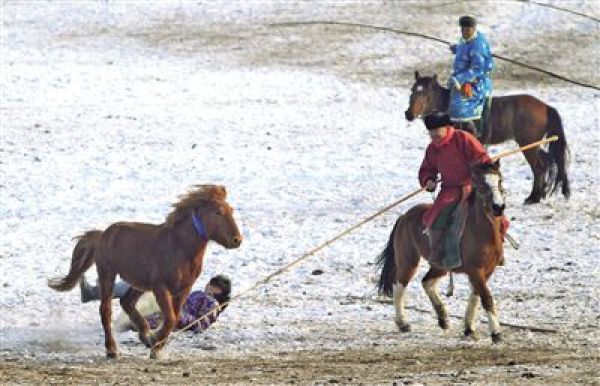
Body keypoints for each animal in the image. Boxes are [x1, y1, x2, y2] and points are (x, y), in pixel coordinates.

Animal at [48, 184, 243, 358]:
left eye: (231, 210)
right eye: (218, 212)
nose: (237, 240)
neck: (179, 247)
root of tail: (102, 235)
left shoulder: (183, 289)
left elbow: (174, 317)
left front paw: (155, 343)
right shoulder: (160, 288)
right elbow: (170, 318)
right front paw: (156, 346)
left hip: (138, 283)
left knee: (127, 302)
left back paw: (145, 335)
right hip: (107, 274)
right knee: (106, 310)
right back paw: (112, 349)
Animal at [380, 161, 506, 342]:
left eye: (500, 180)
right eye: (482, 184)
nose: (498, 207)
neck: (481, 230)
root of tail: (404, 217)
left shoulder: (486, 271)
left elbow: (476, 295)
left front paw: (469, 327)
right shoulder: (475, 270)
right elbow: (486, 298)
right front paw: (496, 332)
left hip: (440, 266)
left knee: (427, 282)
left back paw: (443, 318)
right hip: (407, 260)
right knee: (399, 286)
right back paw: (402, 323)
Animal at [406, 71, 568, 205]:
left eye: (426, 93)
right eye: (412, 90)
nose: (409, 114)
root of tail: (545, 106)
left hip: (529, 145)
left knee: (538, 167)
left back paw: (533, 197)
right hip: (535, 145)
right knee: (547, 163)